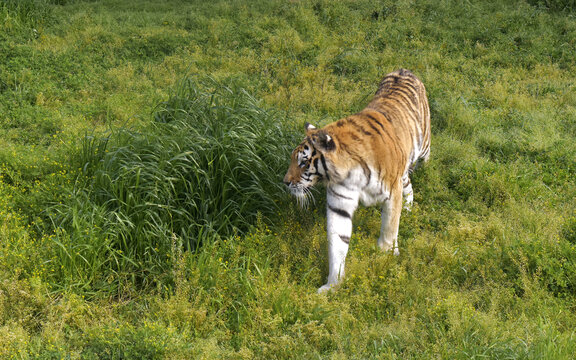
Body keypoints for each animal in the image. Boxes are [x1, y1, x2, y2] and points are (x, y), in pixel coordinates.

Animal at [282, 69, 430, 294]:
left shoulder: (392, 191)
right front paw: (332, 285)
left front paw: (385, 256)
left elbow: (389, 227)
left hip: (423, 149)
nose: (285, 182)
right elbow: (338, 242)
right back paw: (409, 211)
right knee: (409, 185)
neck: (350, 172)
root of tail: (404, 70)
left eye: (304, 162)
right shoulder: (339, 203)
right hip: (403, 172)